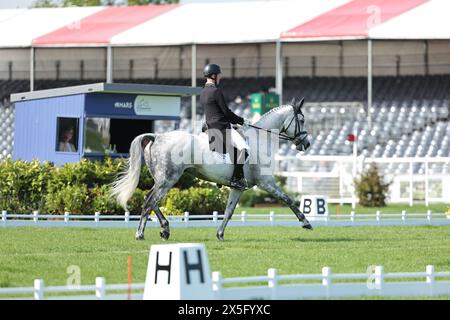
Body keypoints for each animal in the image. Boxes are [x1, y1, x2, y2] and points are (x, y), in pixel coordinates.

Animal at [109, 97, 312, 240]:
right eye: (301, 120)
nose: (307, 144)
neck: (259, 139)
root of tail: (157, 136)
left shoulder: (238, 188)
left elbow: (229, 211)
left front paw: (220, 234)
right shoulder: (266, 182)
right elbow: (288, 199)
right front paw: (306, 222)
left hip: (162, 180)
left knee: (151, 201)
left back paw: (164, 229)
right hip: (168, 179)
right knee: (150, 201)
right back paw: (142, 234)